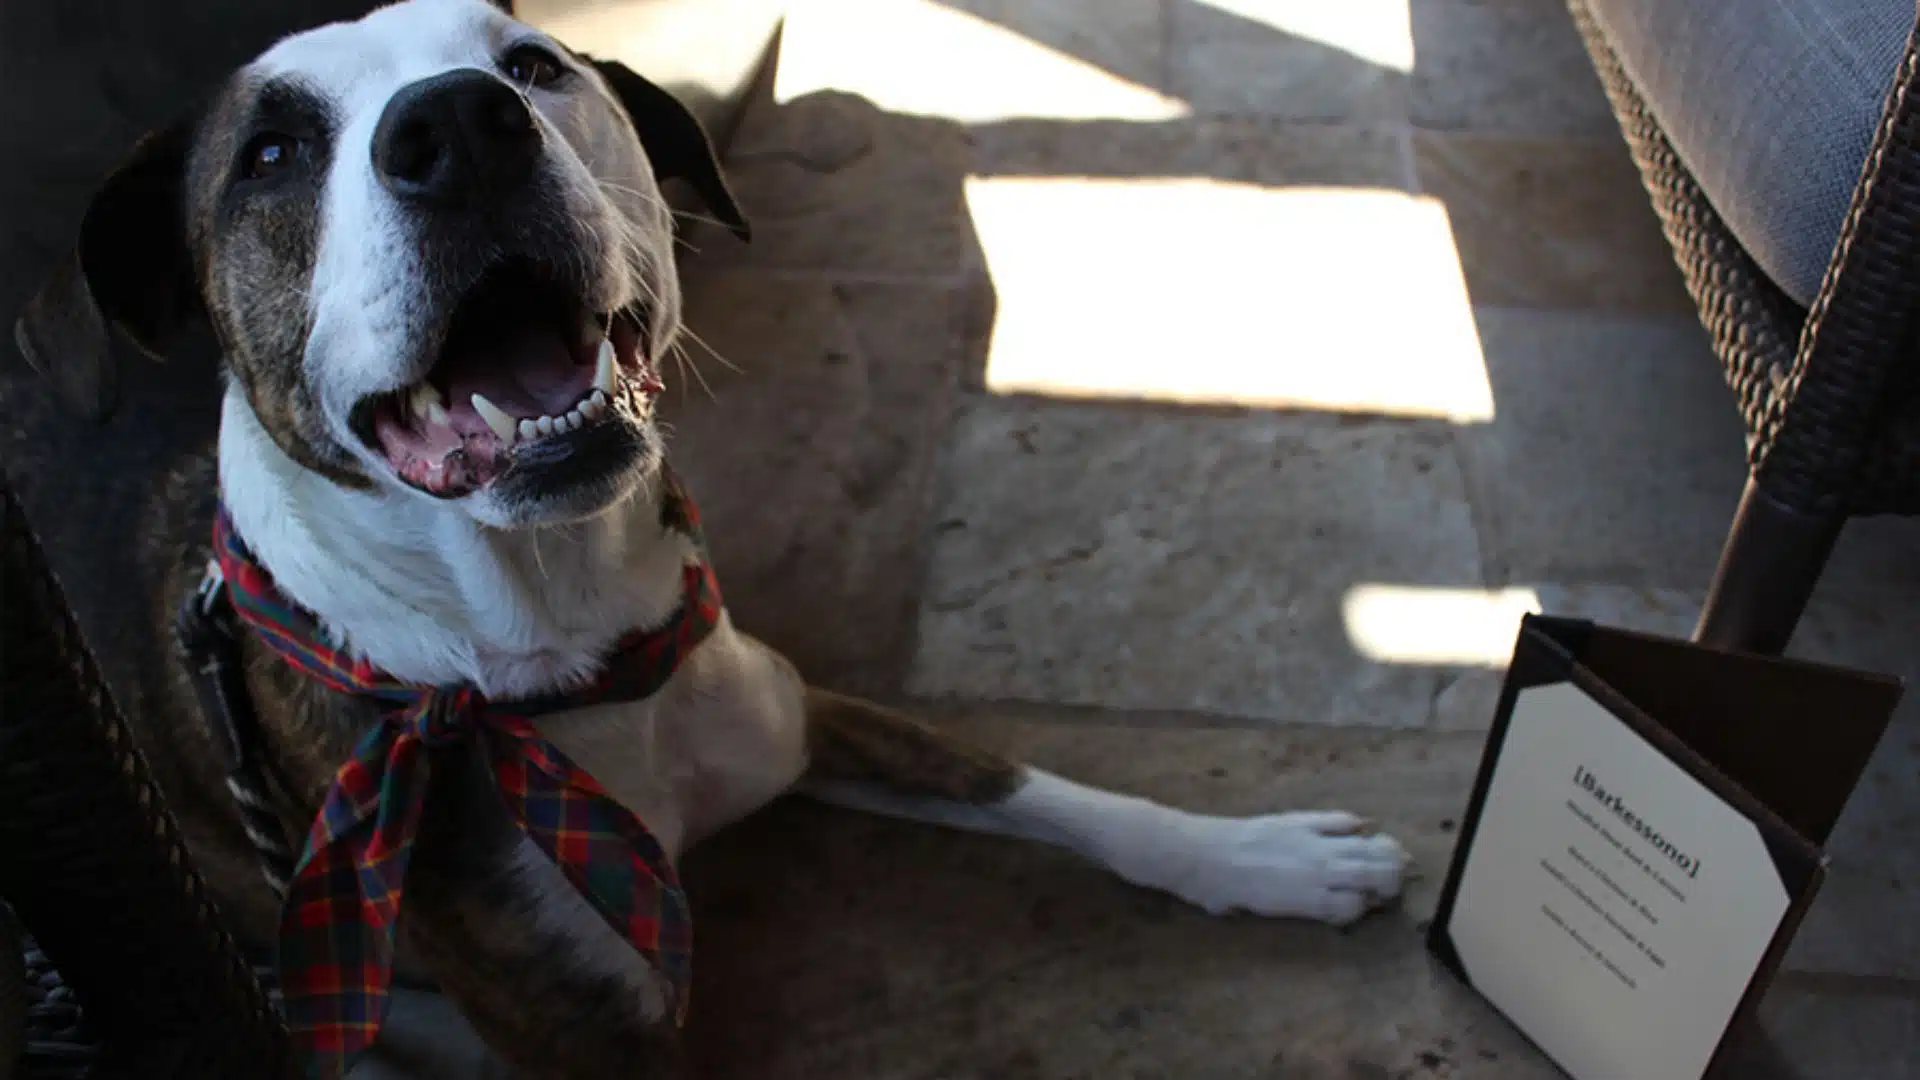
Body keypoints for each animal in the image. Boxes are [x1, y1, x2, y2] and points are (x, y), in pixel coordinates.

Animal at [11, 0, 1413, 1068]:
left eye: (533, 66)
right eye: (270, 155)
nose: (457, 126)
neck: (555, 652)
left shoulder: (801, 711)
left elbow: (1042, 787)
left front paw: (1266, 857)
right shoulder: (588, 1026)